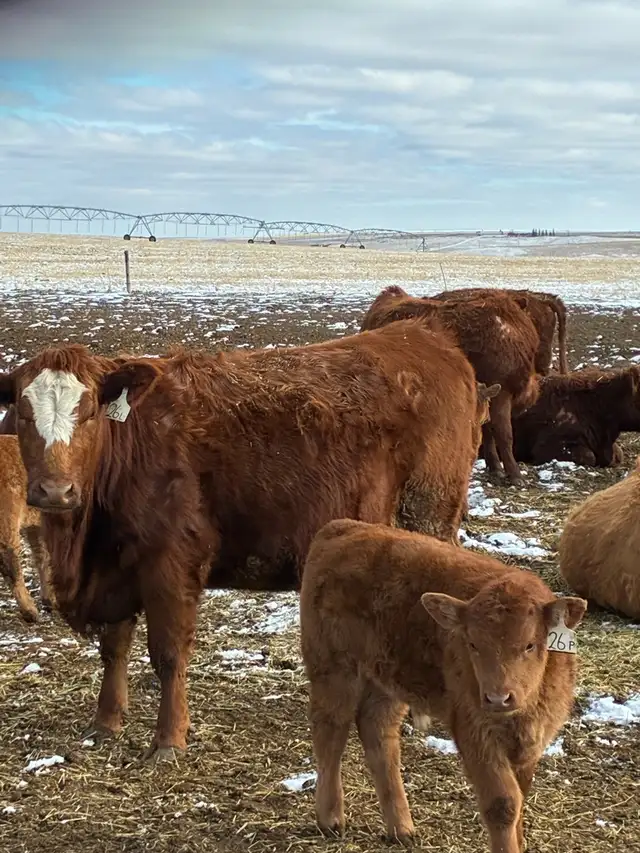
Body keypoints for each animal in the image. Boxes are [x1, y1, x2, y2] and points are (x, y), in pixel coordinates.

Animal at [300, 519, 587, 852]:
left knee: (378, 732)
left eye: (530, 644)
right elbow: (503, 804)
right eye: (472, 644)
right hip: (334, 670)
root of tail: (342, 527)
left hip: (387, 681)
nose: (497, 698)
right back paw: (331, 819)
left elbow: (521, 794)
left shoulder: (534, 739)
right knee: (331, 731)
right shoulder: (474, 732)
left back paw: (401, 828)